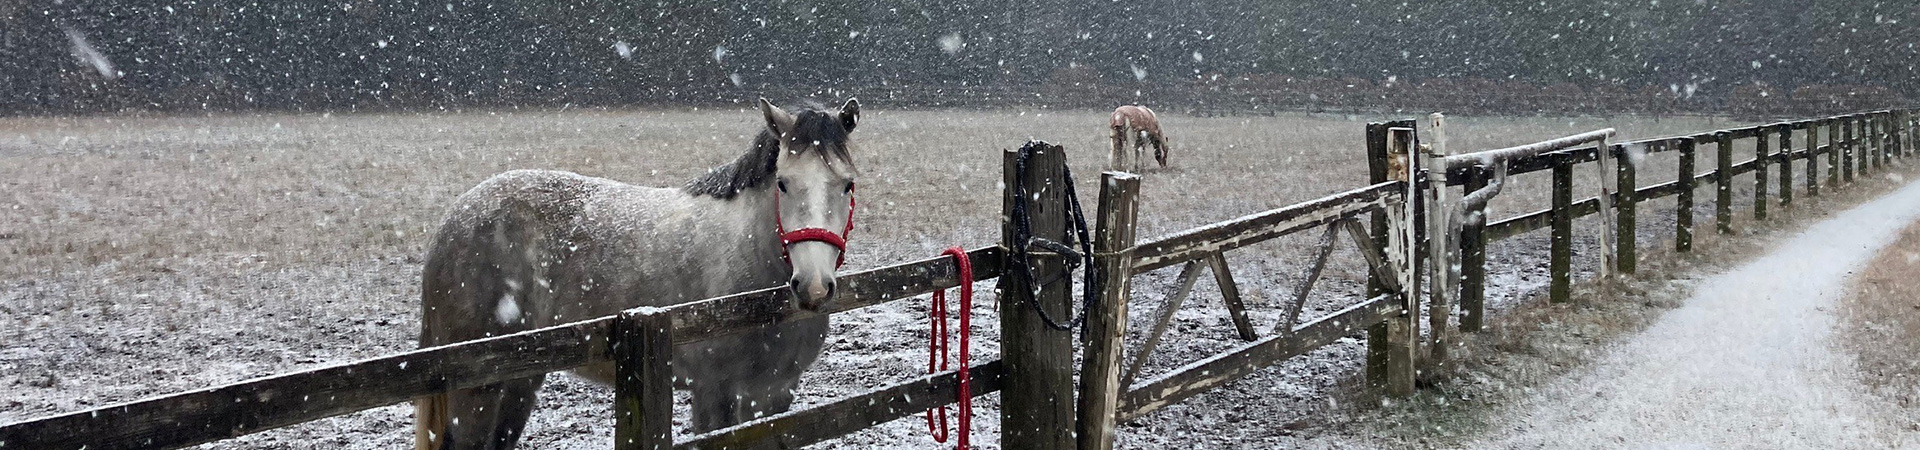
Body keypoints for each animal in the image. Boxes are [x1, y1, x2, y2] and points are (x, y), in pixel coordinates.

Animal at [416, 99, 860, 450]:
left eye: (847, 185)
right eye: (783, 184)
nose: (813, 286)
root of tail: (450, 222)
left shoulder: (773, 394)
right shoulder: (715, 392)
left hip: (519, 382)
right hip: (477, 390)